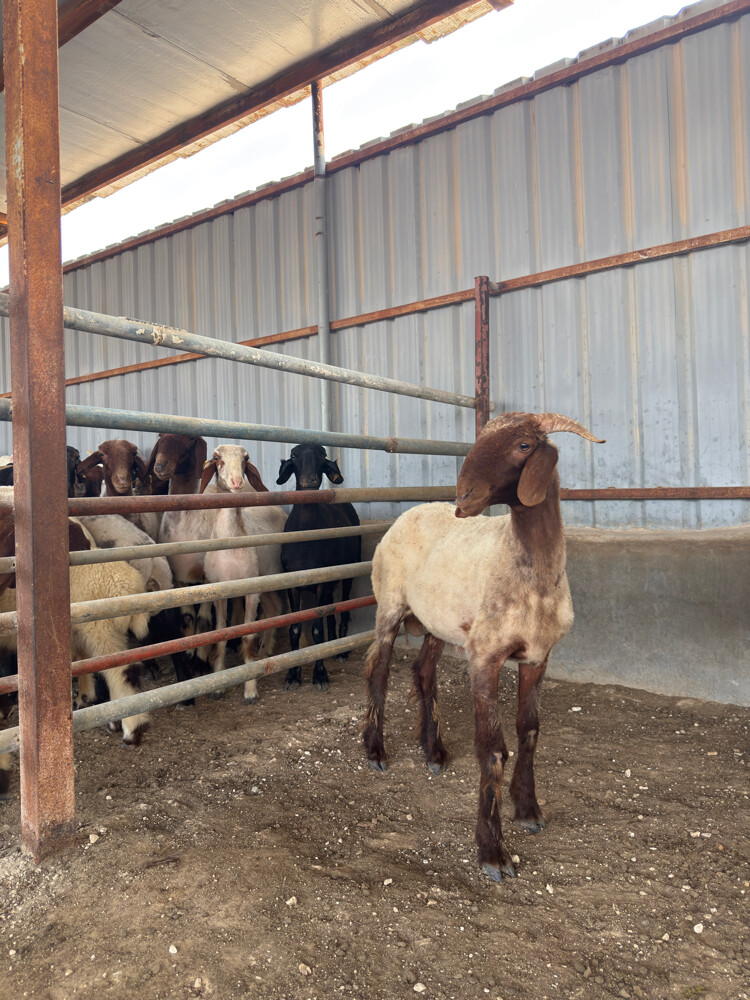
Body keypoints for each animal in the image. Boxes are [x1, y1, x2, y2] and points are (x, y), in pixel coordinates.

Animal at [200, 444, 287, 704]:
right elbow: (220, 634)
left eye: (246, 459)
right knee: (274, 608)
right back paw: (265, 650)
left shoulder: (251, 590)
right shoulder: (219, 591)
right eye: (216, 458)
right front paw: (218, 685)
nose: (237, 482)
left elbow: (248, 637)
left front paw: (250, 689)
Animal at [276, 444, 361, 691]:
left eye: (322, 457)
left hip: (349, 570)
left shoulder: (322, 583)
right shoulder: (291, 583)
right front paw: (292, 675)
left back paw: (341, 650)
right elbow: (295, 629)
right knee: (331, 610)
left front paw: (320, 676)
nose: (309, 480)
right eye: (294, 456)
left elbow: (316, 629)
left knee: (343, 606)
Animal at [362, 411, 604, 882]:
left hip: (436, 621)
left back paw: (434, 751)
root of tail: (410, 511)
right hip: (389, 605)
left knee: (423, 673)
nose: (463, 497)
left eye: (525, 445)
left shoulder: (537, 655)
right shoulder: (485, 656)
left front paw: (528, 810)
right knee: (379, 673)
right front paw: (492, 853)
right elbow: (492, 750)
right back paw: (375, 749)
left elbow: (529, 731)